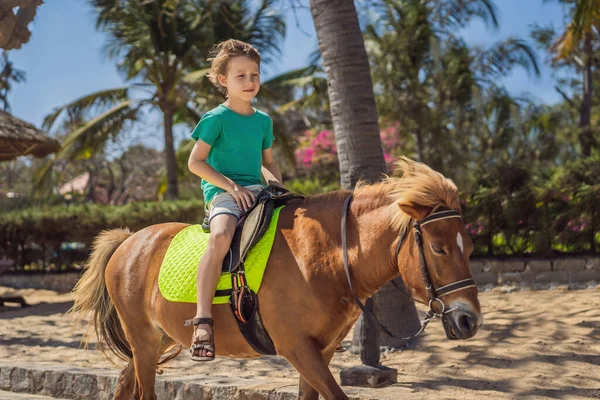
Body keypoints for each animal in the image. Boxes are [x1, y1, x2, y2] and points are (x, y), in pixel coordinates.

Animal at [71, 157, 482, 400]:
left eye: (471, 249)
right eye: (440, 248)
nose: (470, 320)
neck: (323, 255)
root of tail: (129, 240)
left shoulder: (320, 351)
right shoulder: (297, 348)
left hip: (156, 340)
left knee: (125, 384)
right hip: (142, 339)